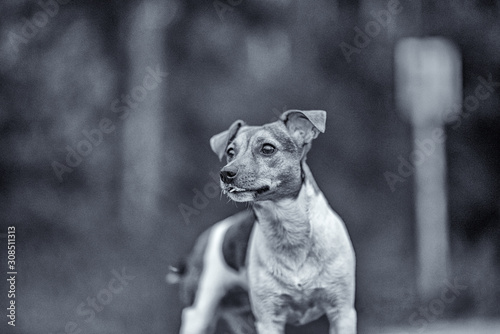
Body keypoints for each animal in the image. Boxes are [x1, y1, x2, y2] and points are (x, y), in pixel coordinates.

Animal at [170, 110, 358, 334]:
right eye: (230, 152)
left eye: (267, 148)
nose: (225, 173)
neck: (289, 231)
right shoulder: (268, 319)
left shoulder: (342, 312)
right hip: (199, 313)